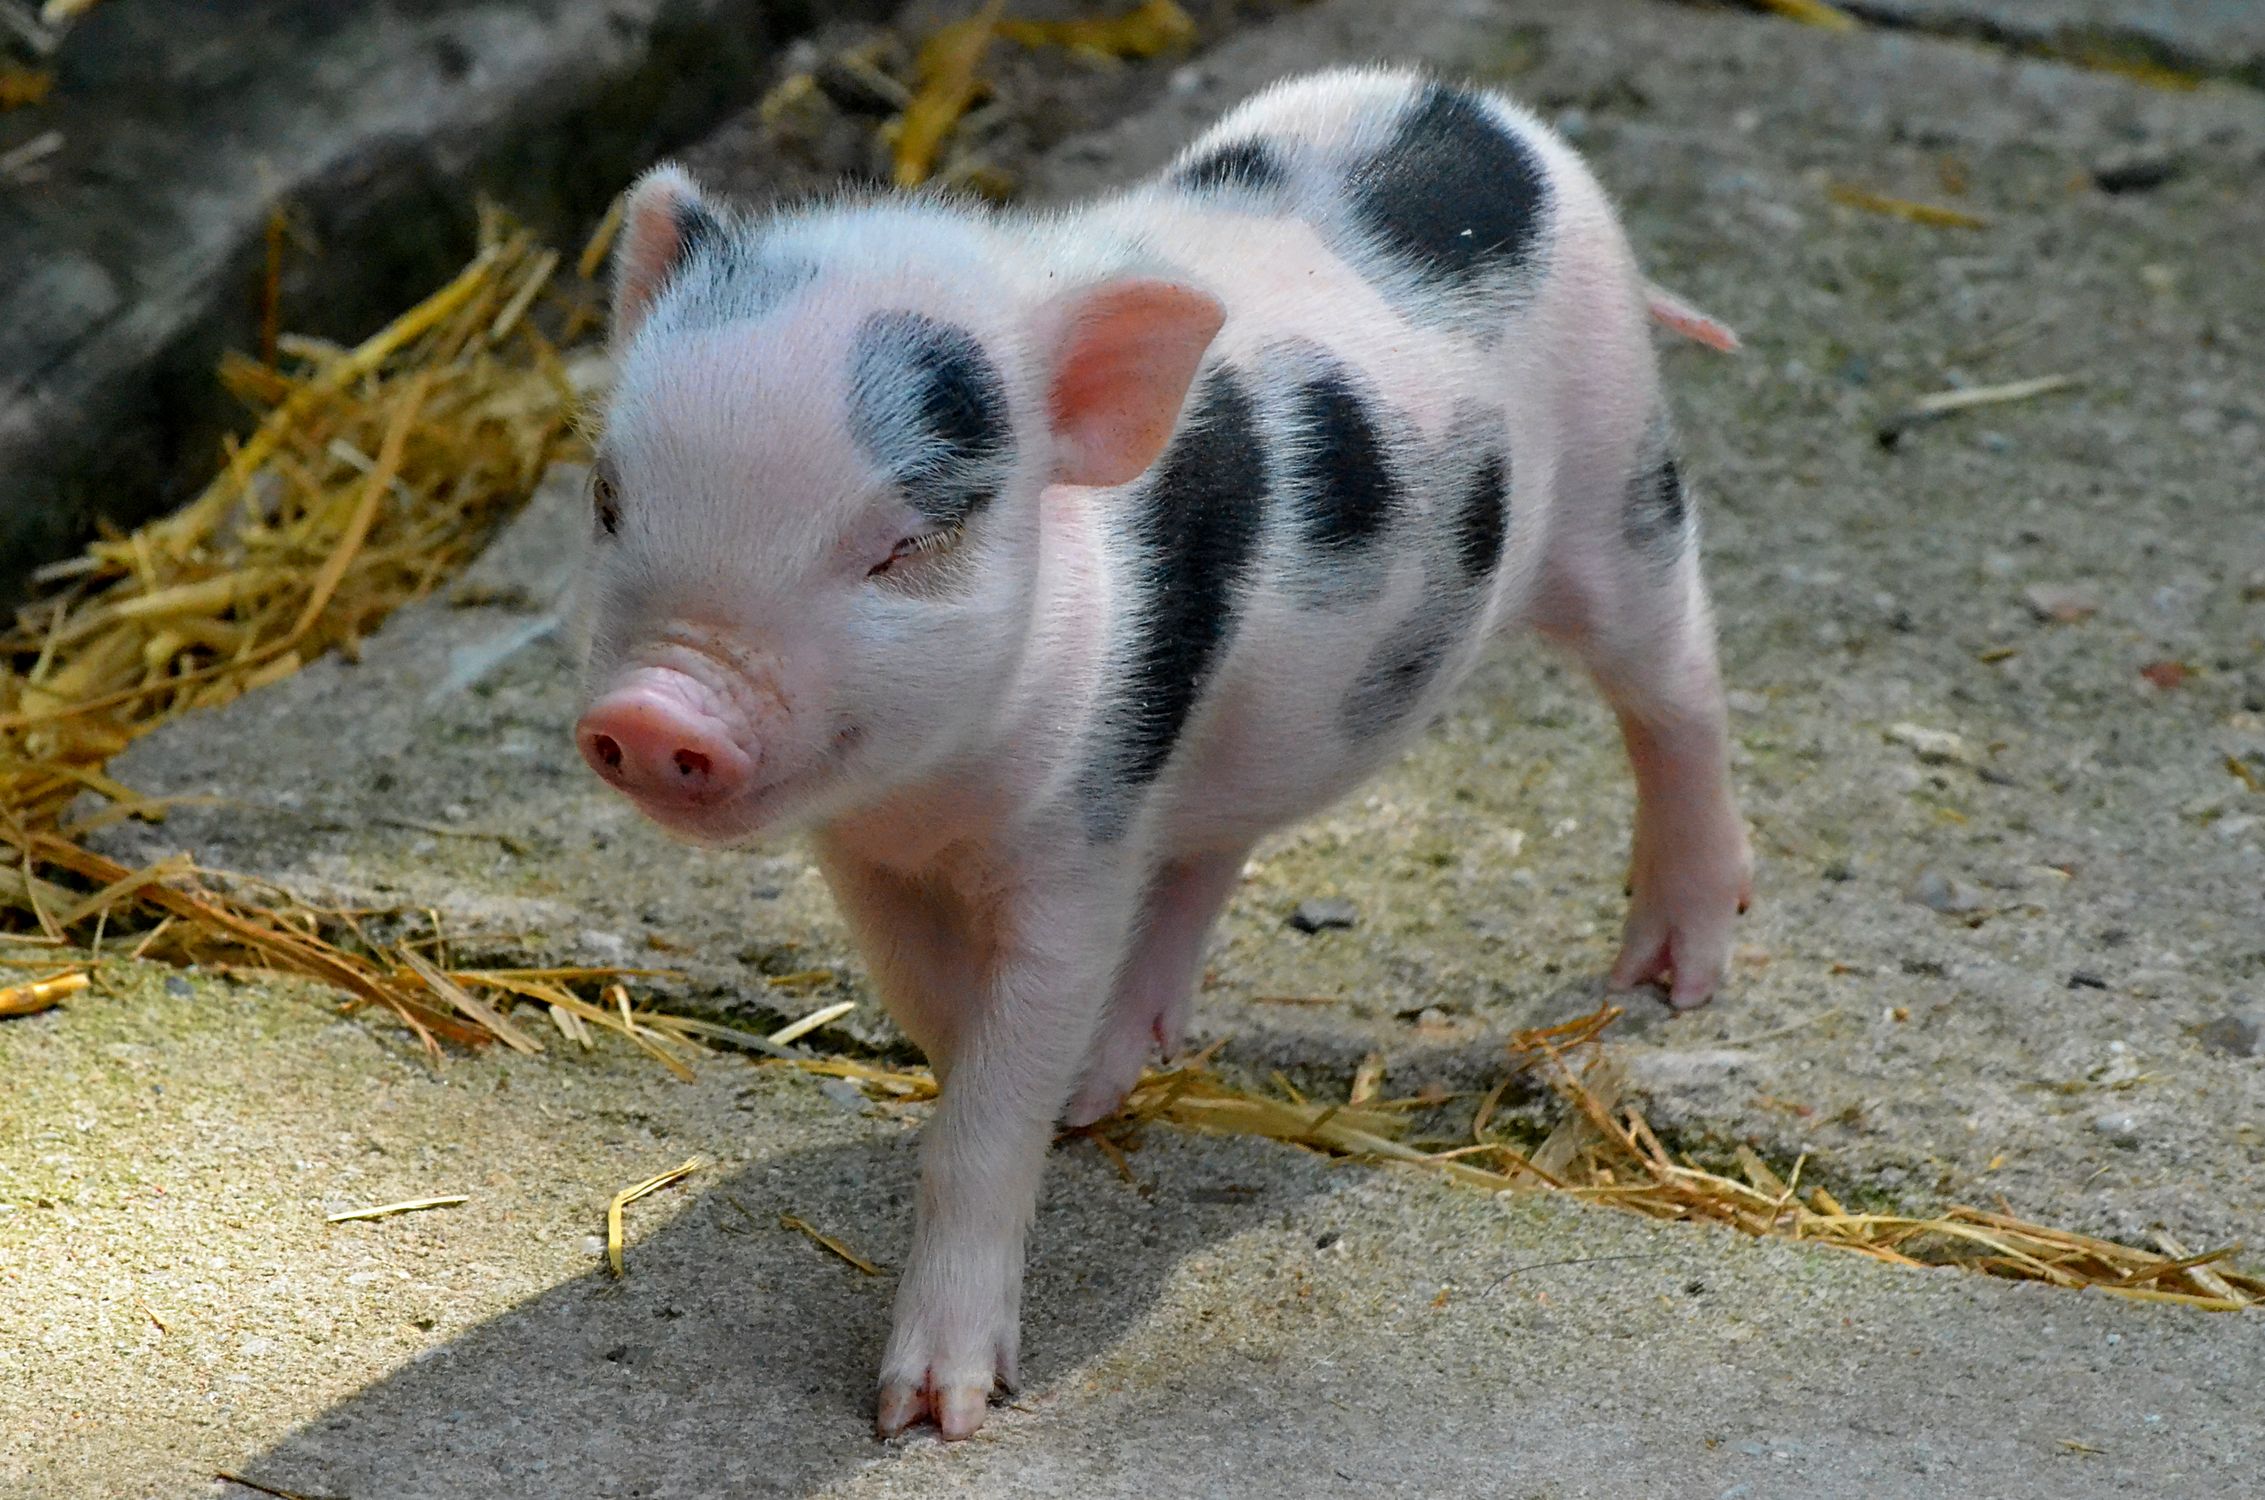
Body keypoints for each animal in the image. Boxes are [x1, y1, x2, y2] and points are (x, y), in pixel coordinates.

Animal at [574, 65, 1752, 1440]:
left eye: (902, 544)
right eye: (608, 499)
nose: (656, 711)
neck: (934, 797)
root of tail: (1474, 107)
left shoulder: (1078, 840)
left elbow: (991, 1098)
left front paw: (932, 1415)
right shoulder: (870, 855)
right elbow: (936, 1009)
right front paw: (1064, 1090)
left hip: (1622, 480)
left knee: (1678, 687)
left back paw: (1669, 977)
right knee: (1214, 845)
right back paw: (1120, 1059)